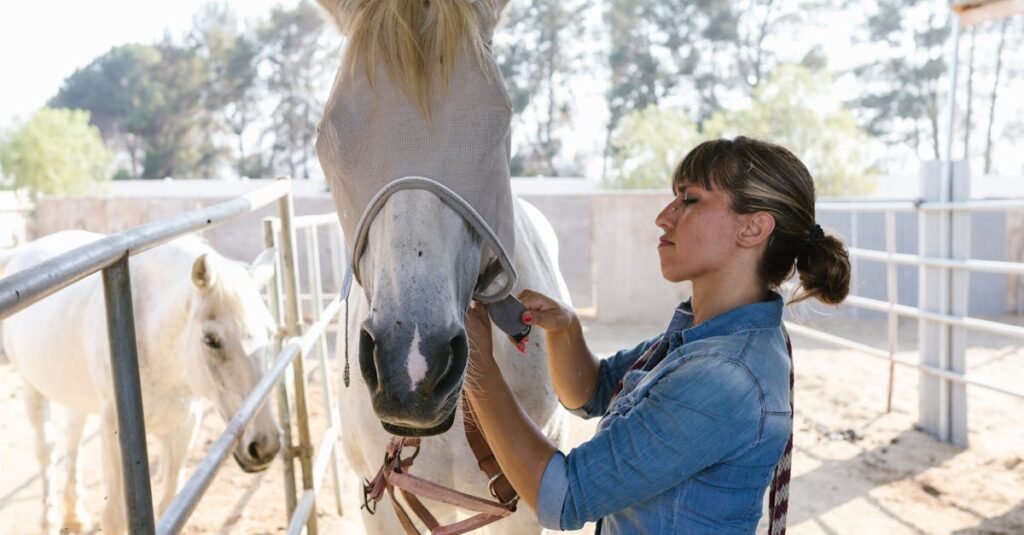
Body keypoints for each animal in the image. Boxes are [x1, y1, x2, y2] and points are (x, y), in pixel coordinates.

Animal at [0, 230, 282, 535]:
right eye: (211, 340)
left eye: (271, 331)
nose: (265, 447)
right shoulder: (114, 431)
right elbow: (114, 516)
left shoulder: (182, 426)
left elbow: (169, 502)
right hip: (32, 389)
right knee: (47, 451)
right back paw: (49, 519)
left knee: (72, 442)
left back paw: (74, 516)